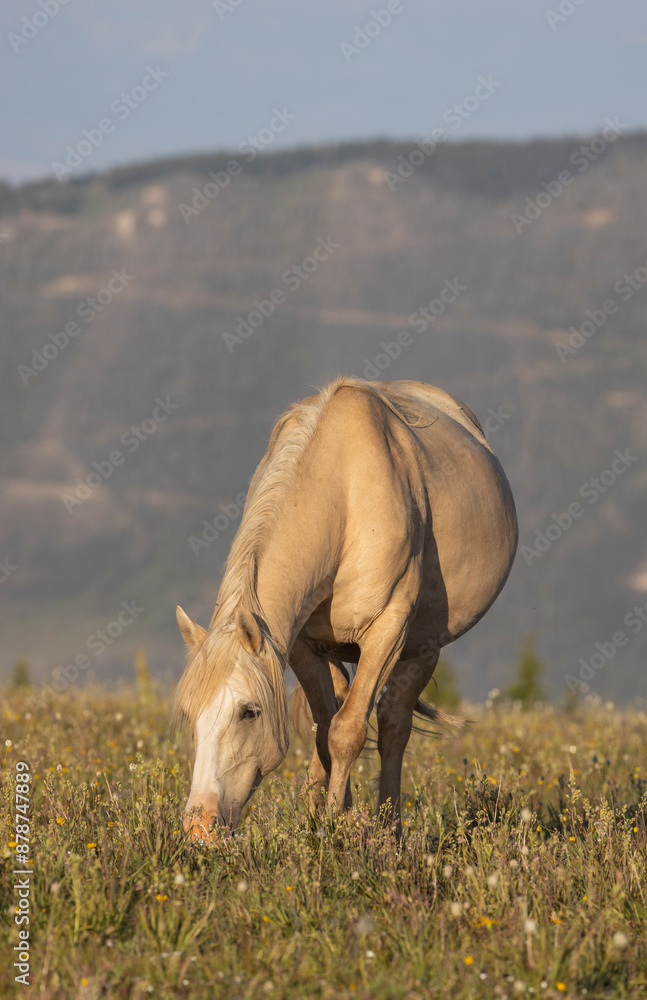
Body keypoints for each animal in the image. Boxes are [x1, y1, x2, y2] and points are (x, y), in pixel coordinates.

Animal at [172, 378, 516, 840]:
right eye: (189, 713)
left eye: (249, 712)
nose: (199, 826)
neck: (346, 497)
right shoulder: (300, 645)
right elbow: (324, 735)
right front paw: (325, 819)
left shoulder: (387, 632)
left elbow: (348, 733)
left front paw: (336, 827)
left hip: (422, 648)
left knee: (392, 727)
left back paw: (390, 828)